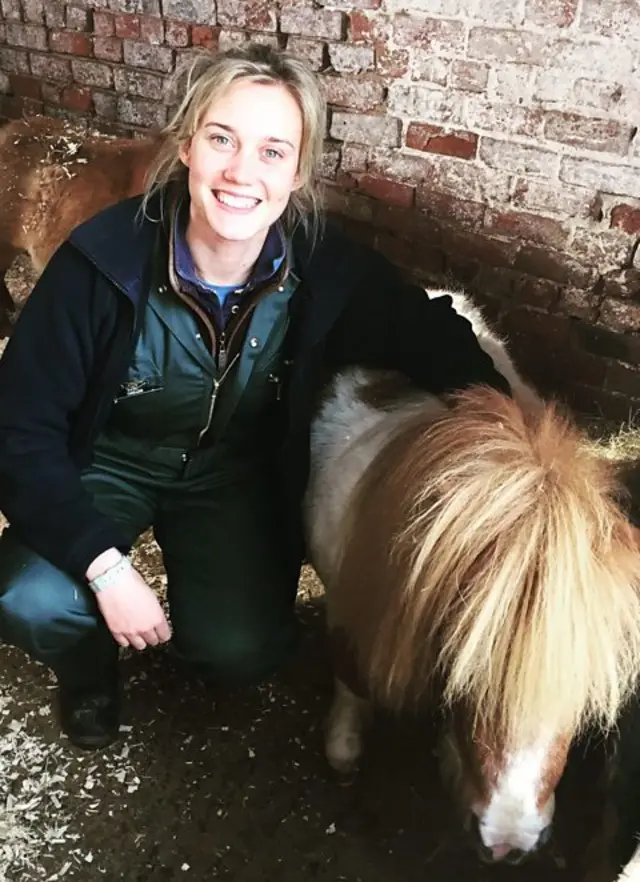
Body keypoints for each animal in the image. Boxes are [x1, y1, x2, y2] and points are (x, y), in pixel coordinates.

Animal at [302, 288, 640, 860]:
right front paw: (344, 753)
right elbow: (351, 681)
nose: (507, 842)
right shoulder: (348, 612)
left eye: (584, 695)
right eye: (467, 673)